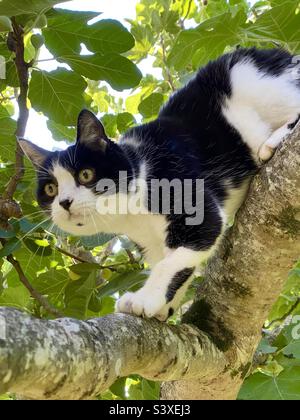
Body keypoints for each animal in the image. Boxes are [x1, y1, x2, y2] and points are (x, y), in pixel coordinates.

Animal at [19, 47, 300, 320]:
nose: (64, 202)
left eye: (85, 175)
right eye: (50, 189)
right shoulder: (150, 242)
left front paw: (145, 299)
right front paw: (166, 305)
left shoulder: (190, 201)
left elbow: (174, 259)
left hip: (246, 79)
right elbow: (179, 265)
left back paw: (272, 141)